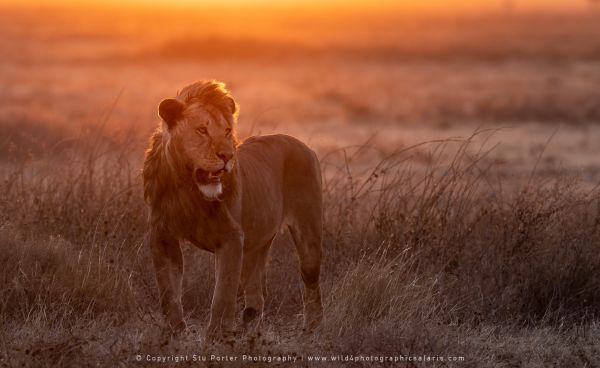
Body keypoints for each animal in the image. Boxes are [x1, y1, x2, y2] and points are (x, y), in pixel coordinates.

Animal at [142, 79, 324, 338]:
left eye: (227, 131)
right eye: (202, 130)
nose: (227, 156)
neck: (190, 190)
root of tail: (302, 144)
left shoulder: (231, 238)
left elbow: (223, 294)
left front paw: (216, 336)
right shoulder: (163, 236)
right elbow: (168, 291)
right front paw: (174, 333)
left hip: (307, 230)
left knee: (310, 280)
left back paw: (312, 328)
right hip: (255, 244)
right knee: (256, 293)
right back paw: (249, 330)